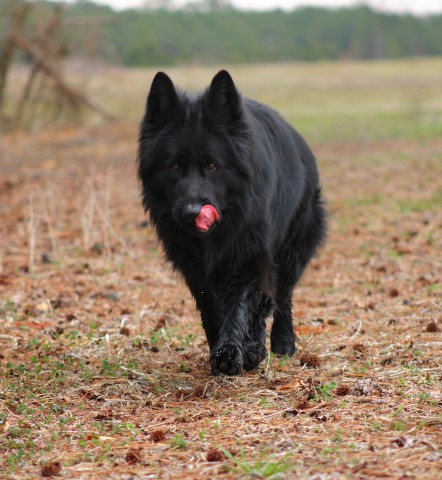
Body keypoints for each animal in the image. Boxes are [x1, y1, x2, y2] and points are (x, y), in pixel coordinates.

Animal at [138, 69, 328, 376]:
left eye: (212, 166)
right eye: (174, 167)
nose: (192, 212)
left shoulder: (248, 256)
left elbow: (241, 305)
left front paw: (232, 352)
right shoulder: (196, 269)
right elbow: (212, 310)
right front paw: (220, 352)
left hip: (291, 250)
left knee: (280, 296)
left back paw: (277, 342)